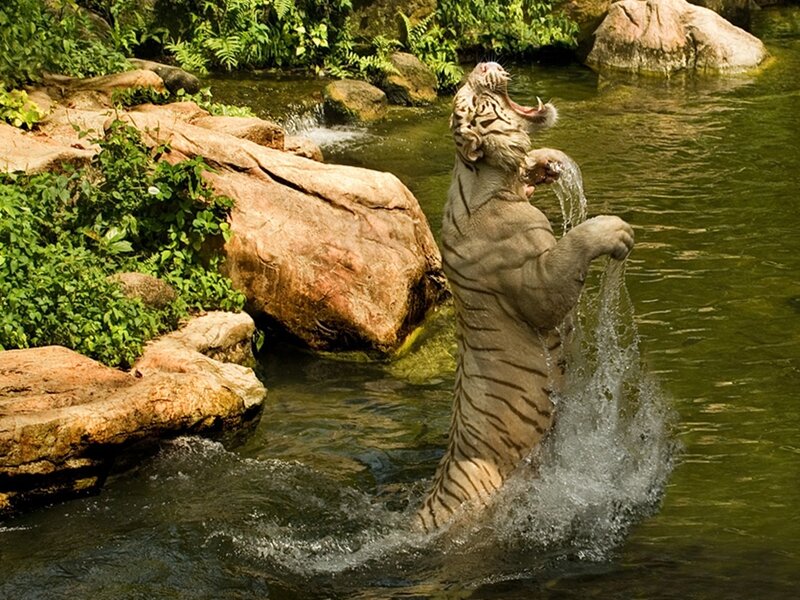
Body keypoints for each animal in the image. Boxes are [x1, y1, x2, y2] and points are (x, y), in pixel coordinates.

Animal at [415, 62, 634, 532]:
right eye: (472, 100)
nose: (482, 64)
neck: (490, 180)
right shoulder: (537, 281)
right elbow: (570, 252)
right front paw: (614, 230)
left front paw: (546, 162)